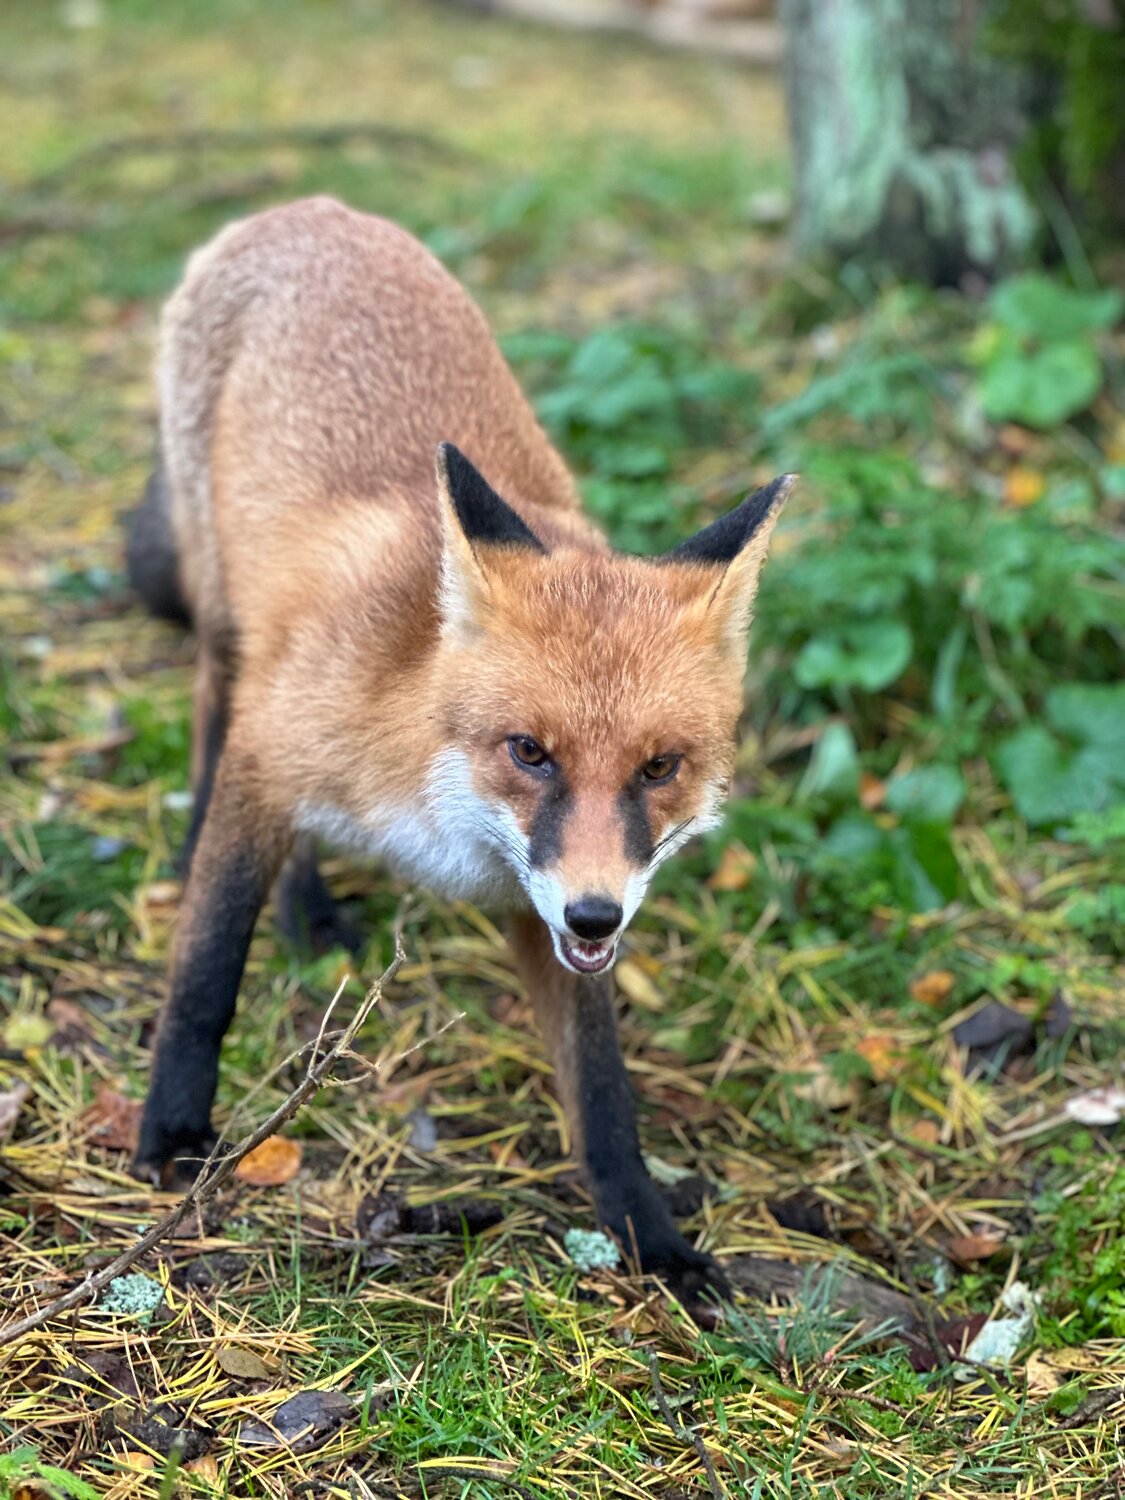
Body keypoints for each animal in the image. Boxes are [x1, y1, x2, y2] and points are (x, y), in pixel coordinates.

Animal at [125, 195, 793, 1304]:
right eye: (530, 752)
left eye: (659, 768)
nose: (600, 913)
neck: (434, 809)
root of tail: (307, 207)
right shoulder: (276, 748)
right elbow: (208, 969)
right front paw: (175, 1129)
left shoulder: (548, 908)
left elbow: (602, 1095)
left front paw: (650, 1239)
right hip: (226, 612)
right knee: (214, 703)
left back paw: (307, 914)